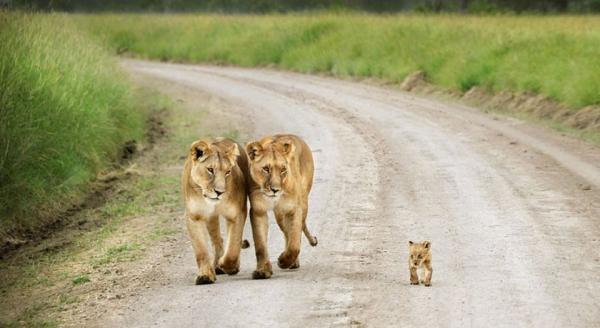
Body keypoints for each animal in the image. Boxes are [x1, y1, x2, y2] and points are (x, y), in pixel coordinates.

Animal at [245, 133, 318, 280]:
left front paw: (283, 261)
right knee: (286, 233)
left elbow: (294, 243)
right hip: (279, 214)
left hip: (303, 203)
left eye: (283, 170)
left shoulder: (294, 208)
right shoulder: (258, 210)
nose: (275, 190)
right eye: (266, 169)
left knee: (296, 232)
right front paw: (263, 271)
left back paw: (292, 262)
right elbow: (260, 245)